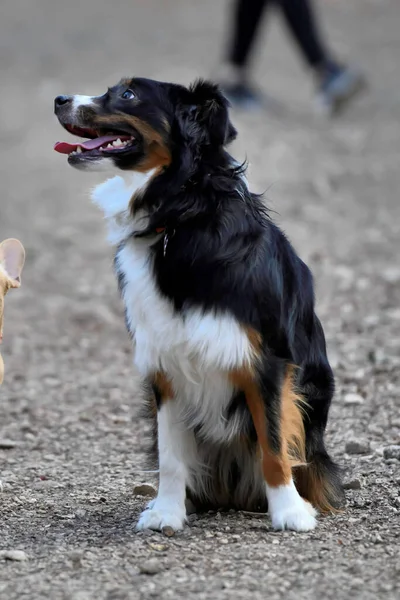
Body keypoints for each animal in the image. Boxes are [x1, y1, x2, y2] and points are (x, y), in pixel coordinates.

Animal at [54, 77, 344, 532]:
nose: (59, 100)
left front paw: (290, 512)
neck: (181, 217)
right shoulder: (164, 361)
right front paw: (167, 512)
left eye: (128, 95)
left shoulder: (266, 360)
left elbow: (274, 442)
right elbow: (172, 456)